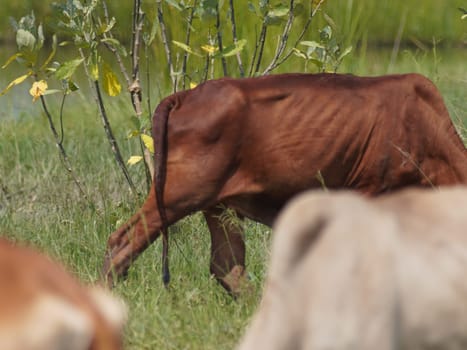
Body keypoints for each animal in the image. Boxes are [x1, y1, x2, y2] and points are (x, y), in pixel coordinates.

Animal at [102, 72, 467, 294]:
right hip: (178, 195)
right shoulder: (369, 193)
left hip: (218, 206)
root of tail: (185, 96)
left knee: (227, 266)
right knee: (121, 242)